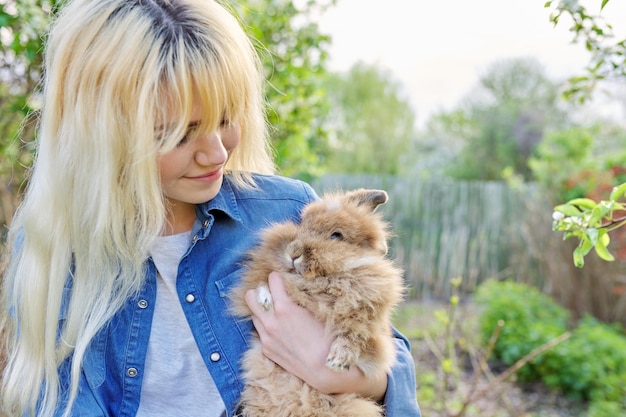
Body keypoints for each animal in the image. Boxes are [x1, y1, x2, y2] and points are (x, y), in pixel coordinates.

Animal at [229, 188, 404, 416]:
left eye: (336, 235)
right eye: (302, 225)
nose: (293, 253)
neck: (322, 280)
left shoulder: (370, 328)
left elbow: (355, 336)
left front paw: (338, 361)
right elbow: (262, 281)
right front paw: (265, 300)